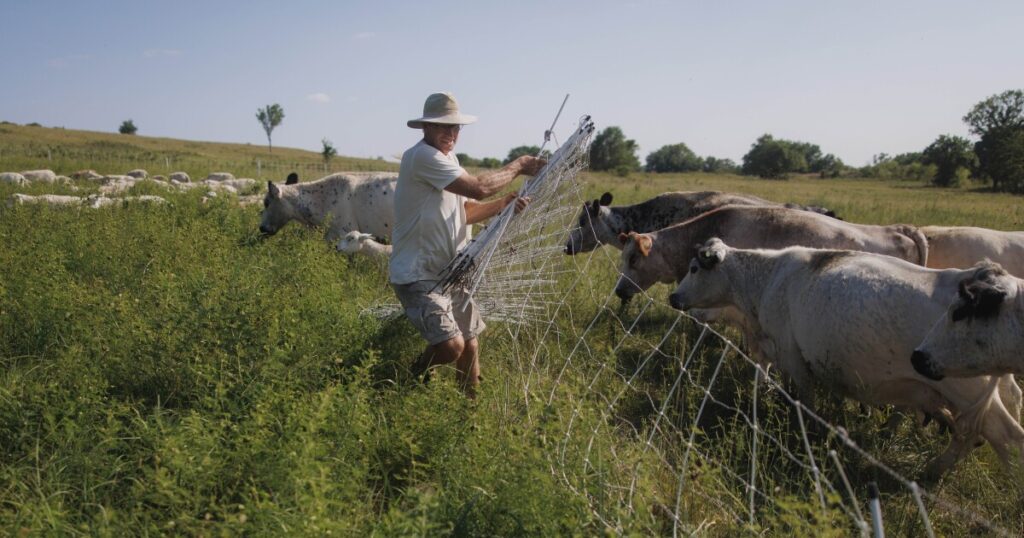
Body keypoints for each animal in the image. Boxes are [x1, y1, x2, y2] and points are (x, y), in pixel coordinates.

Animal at [671, 236, 1024, 475]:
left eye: (694, 268)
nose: (672, 297)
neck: (767, 279)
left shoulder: (792, 356)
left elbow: (803, 401)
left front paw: (807, 433)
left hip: (966, 388)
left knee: (1004, 438)